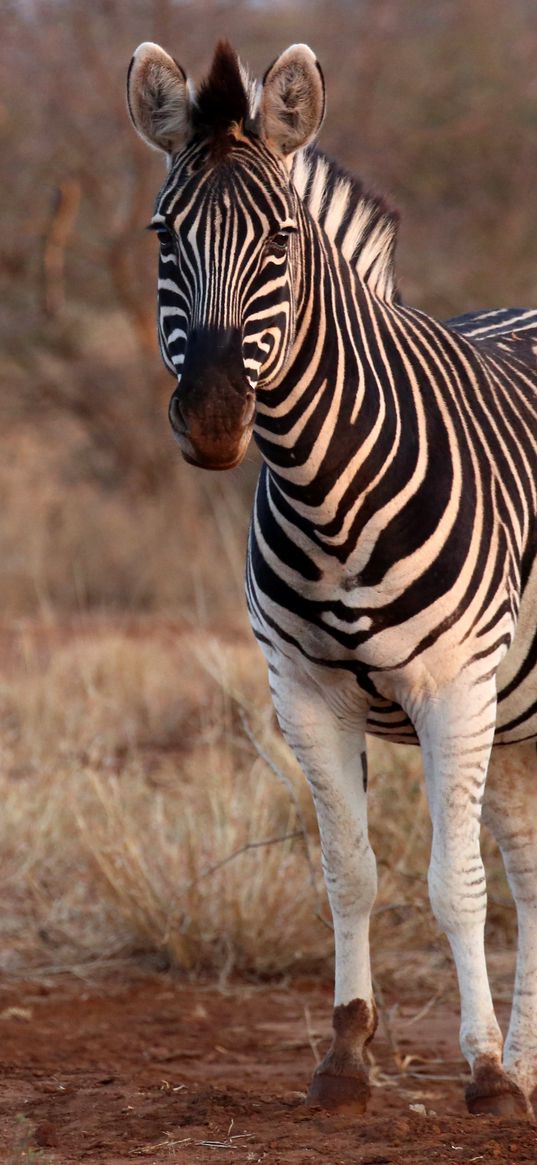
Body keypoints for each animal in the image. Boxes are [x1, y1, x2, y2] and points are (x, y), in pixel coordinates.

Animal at [126, 41, 537, 1113]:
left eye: (279, 239)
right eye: (163, 235)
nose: (214, 418)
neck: (329, 488)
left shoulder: (454, 689)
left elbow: (453, 885)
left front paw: (482, 1074)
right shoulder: (303, 693)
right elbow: (348, 869)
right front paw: (346, 1057)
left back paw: (513, 1065)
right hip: (519, 713)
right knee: (532, 866)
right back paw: (531, 1061)